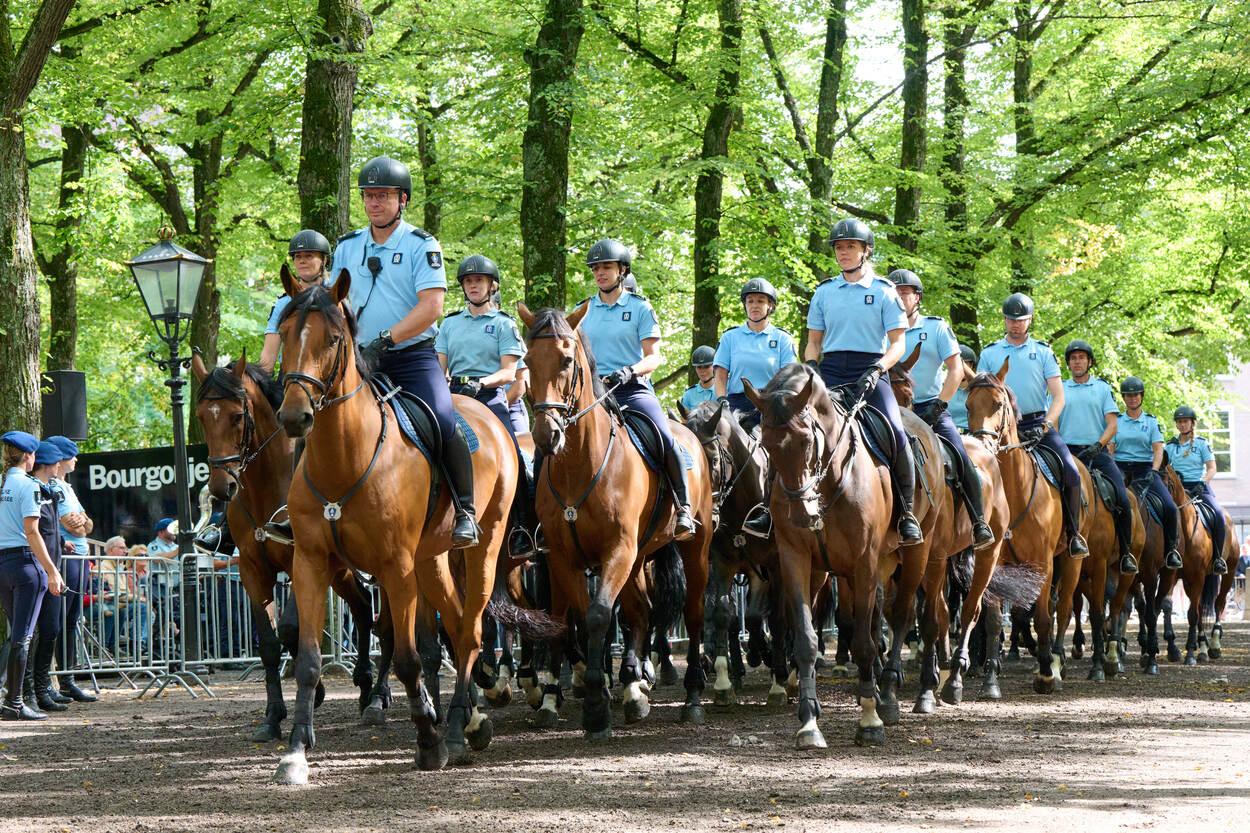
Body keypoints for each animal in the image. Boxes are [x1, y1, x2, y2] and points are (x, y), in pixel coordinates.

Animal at [191, 346, 376, 741]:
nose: (221, 488)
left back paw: (376, 694)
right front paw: (274, 716)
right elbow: (269, 643)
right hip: (341, 570)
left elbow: (292, 628)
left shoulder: (298, 562)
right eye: (201, 417)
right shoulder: (251, 569)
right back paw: (367, 688)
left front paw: (314, 693)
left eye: (236, 416)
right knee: (365, 608)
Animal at [270, 274, 560, 782]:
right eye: (284, 334)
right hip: (432, 560)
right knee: (459, 625)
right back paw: (474, 719)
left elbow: (407, 659)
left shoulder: (395, 569)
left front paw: (427, 739)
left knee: (470, 630)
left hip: (484, 553)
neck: (345, 458)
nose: (294, 416)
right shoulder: (310, 563)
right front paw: (296, 752)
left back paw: (458, 727)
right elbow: (306, 661)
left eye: (333, 339)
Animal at [516, 303, 714, 738]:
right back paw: (634, 687)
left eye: (567, 360)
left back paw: (692, 695)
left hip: (693, 550)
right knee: (640, 611)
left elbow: (598, 617)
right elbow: (583, 616)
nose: (546, 436)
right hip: (638, 558)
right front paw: (600, 694)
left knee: (693, 613)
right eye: (527, 361)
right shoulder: (564, 558)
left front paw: (595, 706)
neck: (580, 465)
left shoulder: (616, 550)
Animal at [681, 398, 787, 707]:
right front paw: (724, 683)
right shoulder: (724, 564)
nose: (704, 515)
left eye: (714, 461)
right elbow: (723, 614)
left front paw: (778, 680)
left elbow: (769, 617)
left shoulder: (770, 567)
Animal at [964, 359, 1093, 694]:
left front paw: (1046, 674)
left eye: (998, 404)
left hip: (1070, 561)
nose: (982, 444)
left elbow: (1044, 618)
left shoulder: (1043, 562)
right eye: (968, 404)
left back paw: (1056, 661)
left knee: (1063, 609)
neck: (1015, 490)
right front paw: (991, 680)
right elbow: (995, 621)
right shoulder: (996, 562)